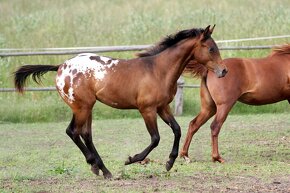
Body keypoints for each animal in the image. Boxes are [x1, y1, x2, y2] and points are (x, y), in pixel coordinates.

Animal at [13, 24, 228, 179]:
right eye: (211, 48)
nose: (224, 71)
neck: (158, 70)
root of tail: (61, 67)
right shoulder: (147, 109)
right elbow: (155, 138)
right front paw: (132, 159)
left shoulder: (162, 107)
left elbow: (177, 129)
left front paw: (169, 163)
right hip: (82, 106)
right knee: (73, 131)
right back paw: (100, 167)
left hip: (86, 107)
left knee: (85, 134)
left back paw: (100, 168)